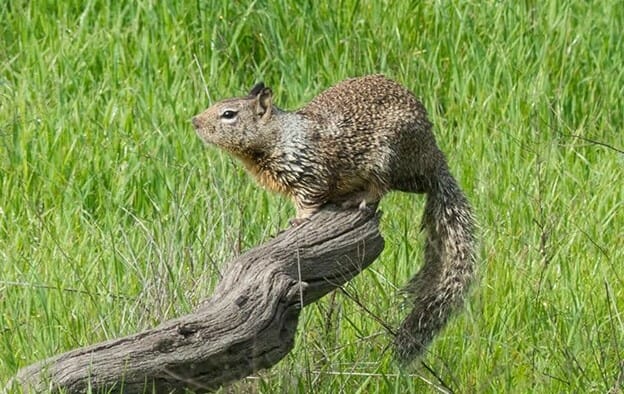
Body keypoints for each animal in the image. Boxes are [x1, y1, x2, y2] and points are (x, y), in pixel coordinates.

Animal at [193, 74, 476, 364]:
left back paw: (357, 199)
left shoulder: (310, 176)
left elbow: (308, 203)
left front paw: (297, 222)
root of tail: (434, 160)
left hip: (388, 158)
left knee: (379, 189)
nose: (194, 122)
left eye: (229, 114)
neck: (280, 137)